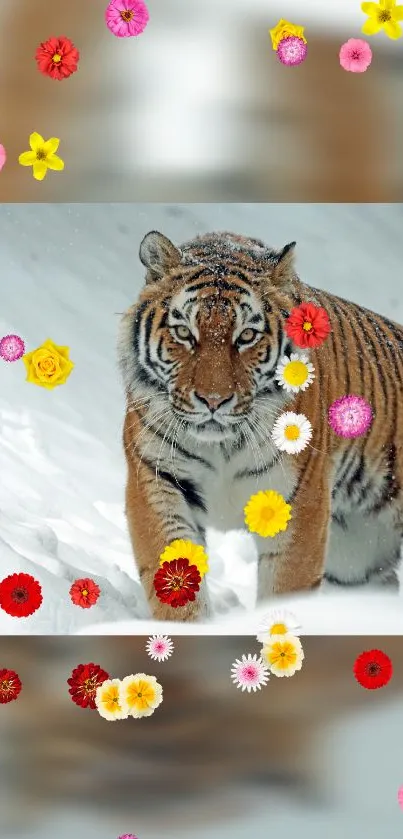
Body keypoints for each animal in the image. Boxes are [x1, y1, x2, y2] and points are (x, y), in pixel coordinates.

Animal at [118, 230, 403, 624]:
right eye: (184, 333)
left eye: (246, 337)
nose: (213, 400)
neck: (221, 446)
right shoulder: (157, 478)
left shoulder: (300, 501)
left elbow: (286, 590)